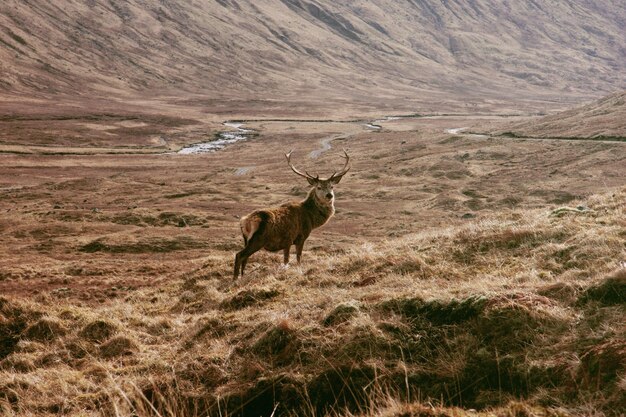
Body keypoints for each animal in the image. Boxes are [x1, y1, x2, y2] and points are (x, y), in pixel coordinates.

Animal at [233, 148, 352, 278]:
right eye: (319, 187)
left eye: (331, 186)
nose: (329, 195)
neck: (311, 218)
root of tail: (245, 221)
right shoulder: (298, 237)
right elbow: (296, 259)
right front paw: (298, 271)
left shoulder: (288, 241)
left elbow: (288, 260)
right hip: (257, 239)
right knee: (239, 255)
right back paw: (235, 278)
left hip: (246, 239)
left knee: (245, 258)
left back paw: (242, 276)